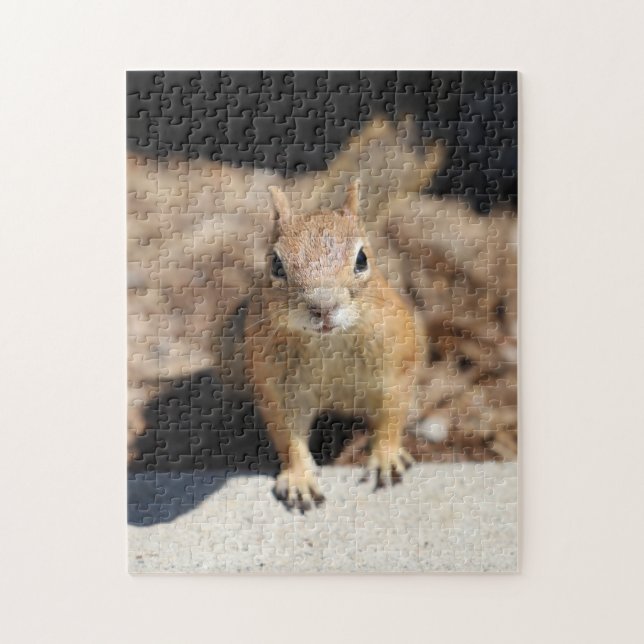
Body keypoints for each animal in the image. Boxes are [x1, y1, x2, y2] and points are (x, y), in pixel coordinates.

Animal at [245, 180, 418, 511]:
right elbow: (287, 435)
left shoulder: (395, 366)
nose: (323, 307)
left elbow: (392, 414)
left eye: (362, 259)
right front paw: (299, 477)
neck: (329, 344)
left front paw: (386, 456)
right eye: (276, 264)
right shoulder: (277, 386)